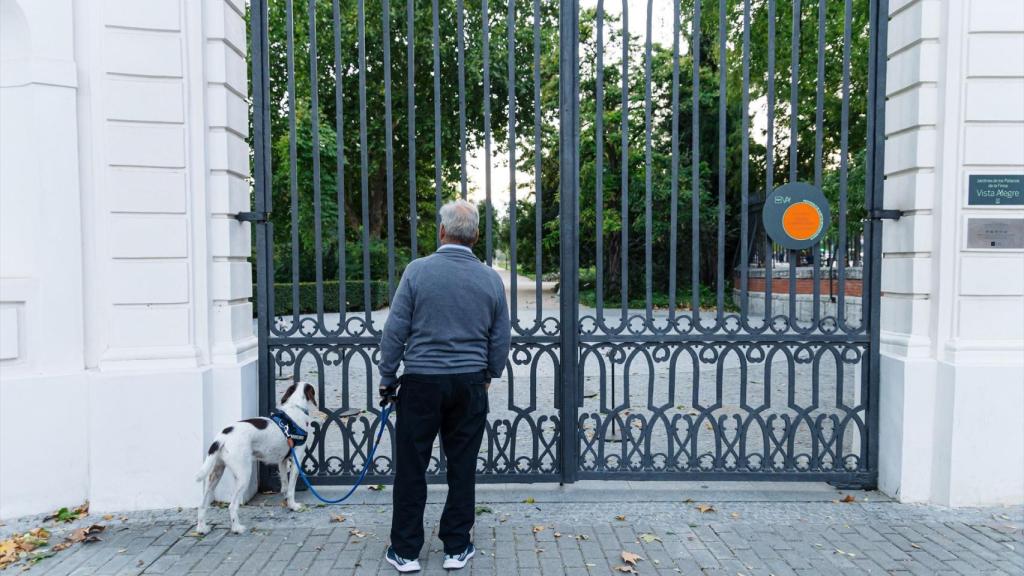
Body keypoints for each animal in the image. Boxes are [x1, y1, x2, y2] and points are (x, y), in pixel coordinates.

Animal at [194, 379, 315, 532]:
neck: (295, 407)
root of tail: (222, 437)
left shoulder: (282, 461)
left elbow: (285, 485)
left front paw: (286, 501)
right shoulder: (296, 459)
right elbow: (292, 487)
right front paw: (293, 505)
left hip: (215, 474)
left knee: (202, 505)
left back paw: (202, 528)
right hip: (243, 475)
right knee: (232, 505)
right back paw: (237, 528)